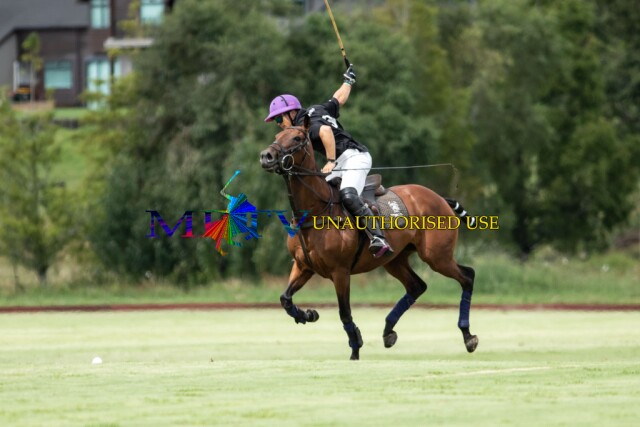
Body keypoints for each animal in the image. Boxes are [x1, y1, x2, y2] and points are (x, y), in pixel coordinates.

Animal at [259, 116, 478, 360]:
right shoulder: (303, 266)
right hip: (395, 259)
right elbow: (285, 299)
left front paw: (355, 348)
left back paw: (468, 336)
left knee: (467, 276)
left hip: (437, 256)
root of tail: (439, 197)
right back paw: (388, 331)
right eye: (277, 136)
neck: (315, 212)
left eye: (297, 138)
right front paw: (308, 315)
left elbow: (344, 312)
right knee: (417, 286)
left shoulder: (340, 271)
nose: (266, 156)